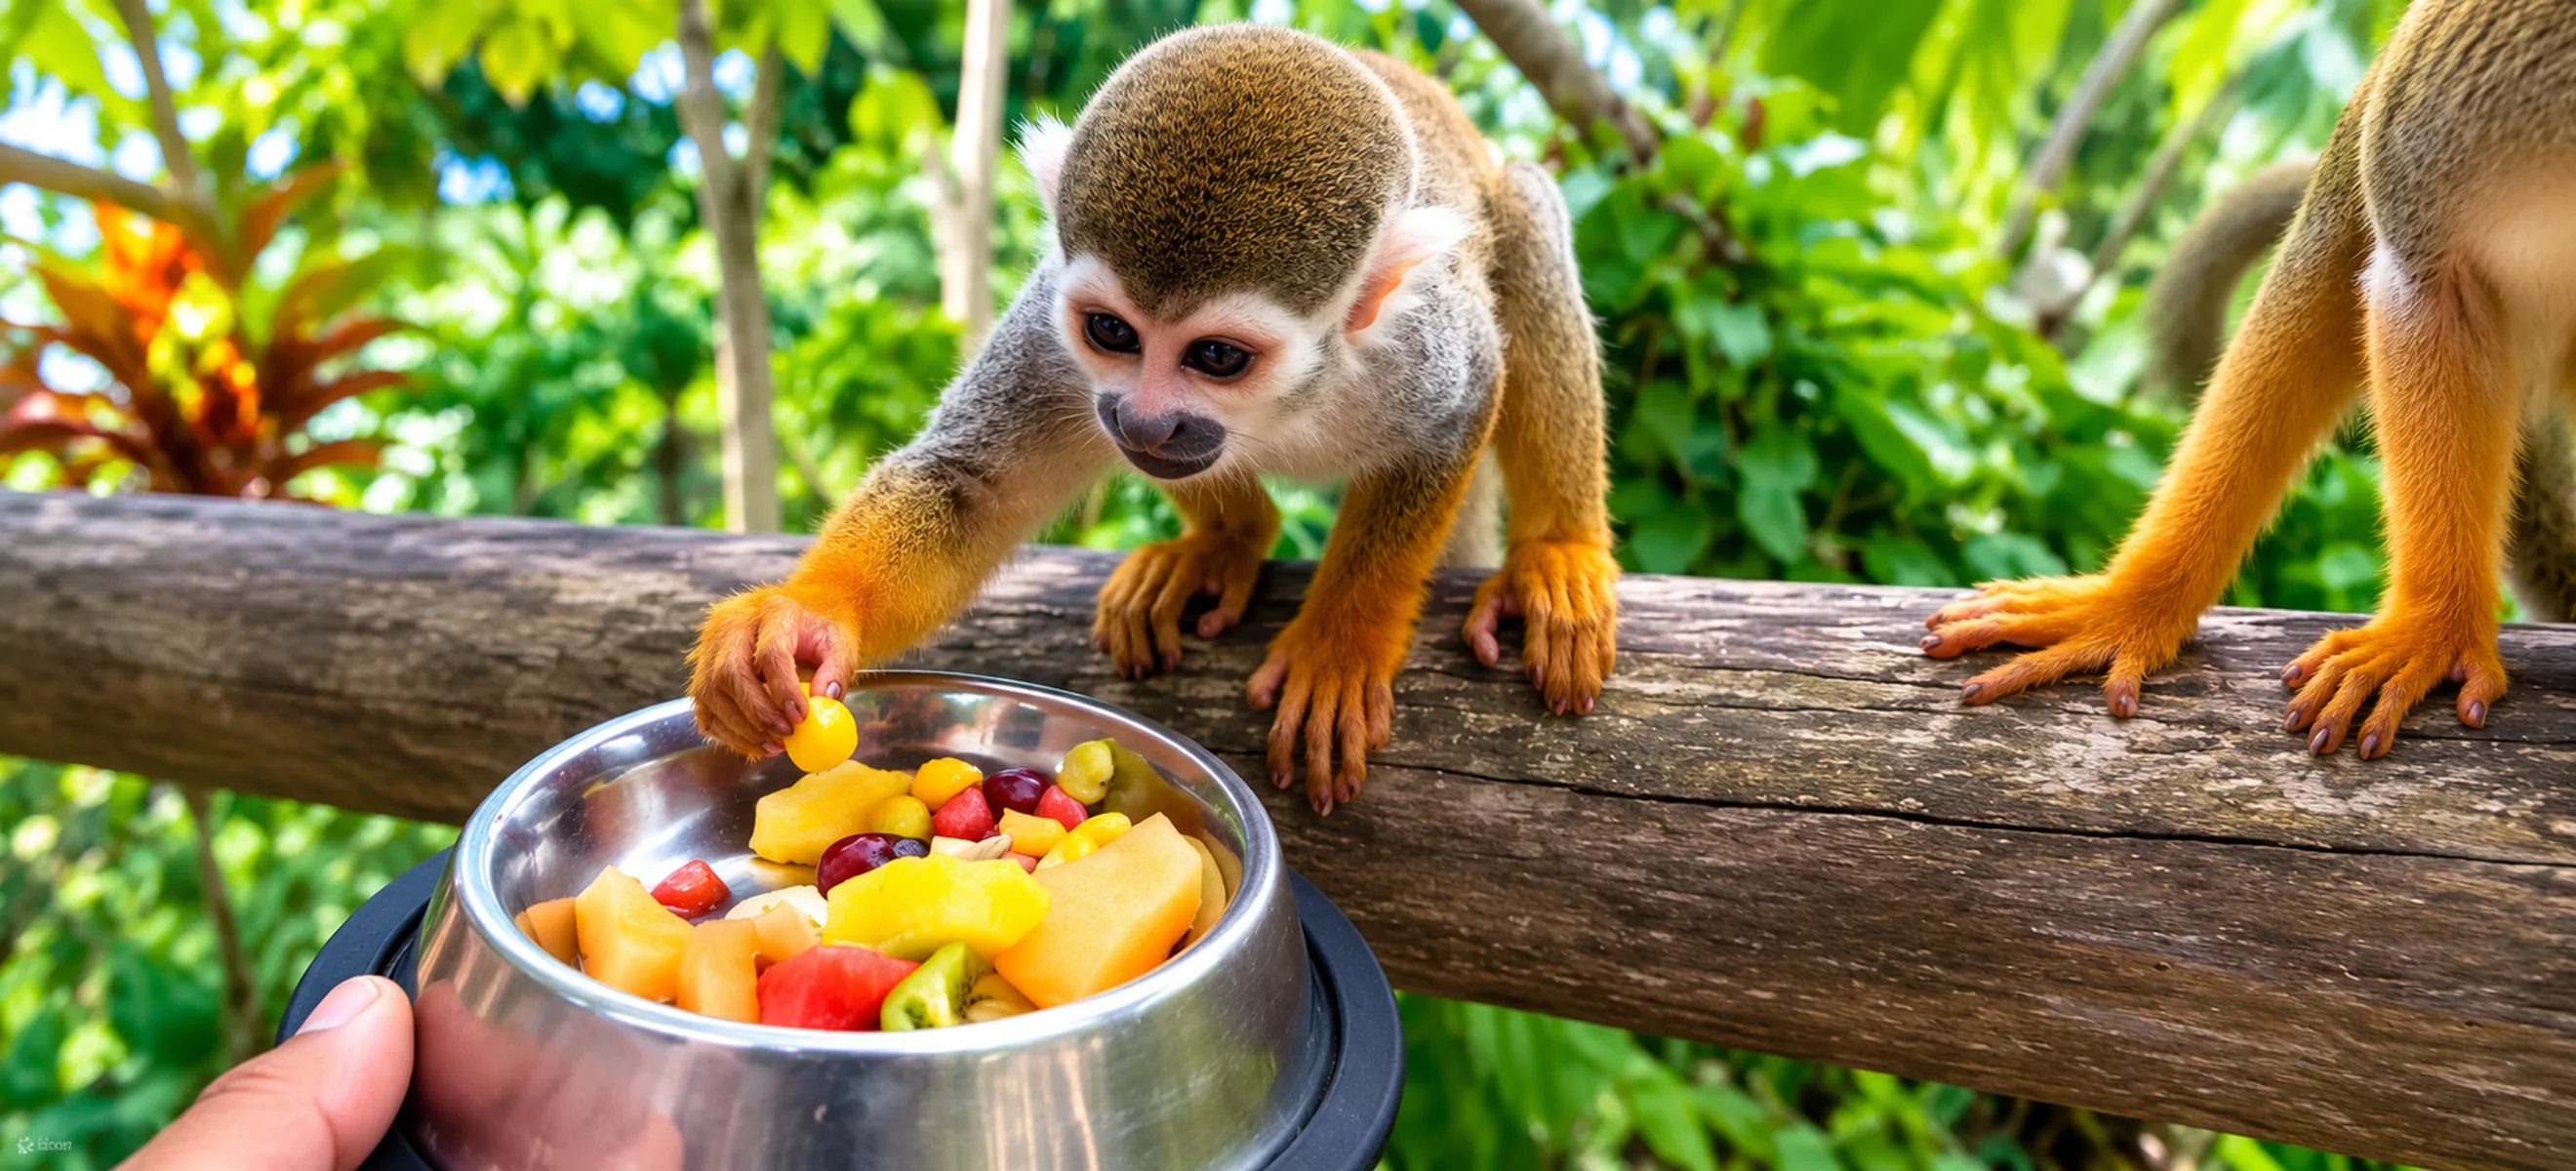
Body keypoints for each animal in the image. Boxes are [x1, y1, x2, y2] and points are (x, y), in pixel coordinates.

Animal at [686, 25, 1620, 813]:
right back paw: (1226, 540)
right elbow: (969, 485)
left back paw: (1559, 549)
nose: (1144, 421)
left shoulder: (1422, 349)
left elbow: (1461, 408)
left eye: (1217, 357)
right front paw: (805, 617)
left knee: (1526, 213)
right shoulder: (1052, 329)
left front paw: (1341, 646)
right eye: (1112, 332)